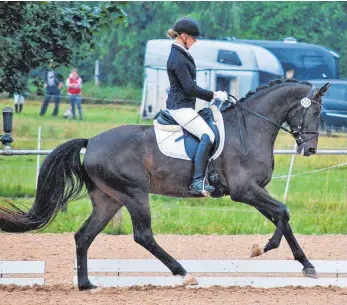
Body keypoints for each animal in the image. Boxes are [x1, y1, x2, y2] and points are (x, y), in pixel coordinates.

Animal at [0, 79, 330, 288]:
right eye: (314, 111)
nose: (311, 149)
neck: (251, 128)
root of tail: (91, 141)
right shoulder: (244, 191)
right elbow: (283, 213)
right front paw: (261, 248)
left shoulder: (255, 191)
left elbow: (282, 217)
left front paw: (307, 265)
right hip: (134, 193)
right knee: (143, 235)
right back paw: (184, 274)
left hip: (109, 199)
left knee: (84, 236)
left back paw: (86, 284)